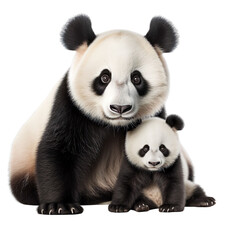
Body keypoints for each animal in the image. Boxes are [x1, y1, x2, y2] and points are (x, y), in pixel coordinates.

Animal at [9, 14, 182, 215]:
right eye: (104, 77)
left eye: (137, 78)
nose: (120, 108)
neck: (114, 126)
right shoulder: (71, 107)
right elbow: (58, 150)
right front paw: (59, 205)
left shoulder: (155, 115)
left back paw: (139, 202)